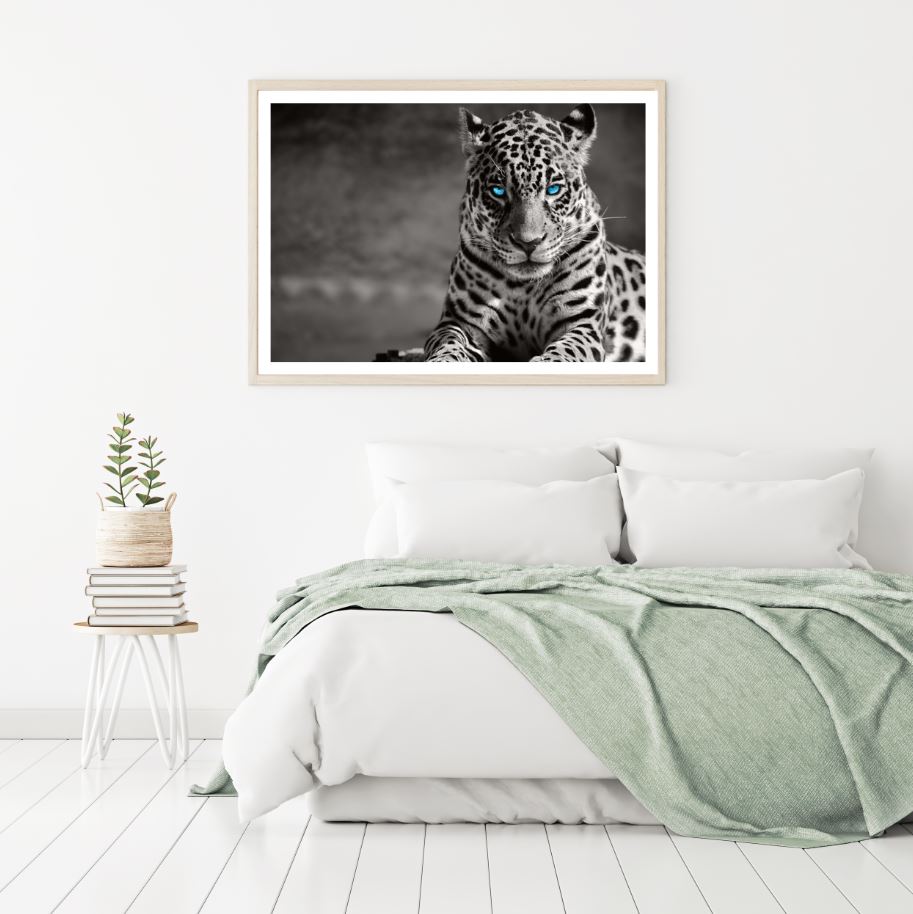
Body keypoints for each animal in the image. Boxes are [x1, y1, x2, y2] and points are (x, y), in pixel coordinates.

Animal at [423, 104, 646, 363]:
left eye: (553, 189)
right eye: (498, 191)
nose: (528, 243)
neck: (524, 288)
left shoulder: (581, 322)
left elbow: (565, 351)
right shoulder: (459, 321)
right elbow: (449, 344)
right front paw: (443, 360)